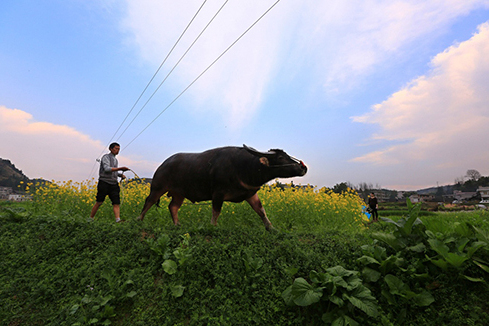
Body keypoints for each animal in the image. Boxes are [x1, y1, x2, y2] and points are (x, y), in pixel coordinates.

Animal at [136, 144, 304, 230]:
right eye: (281, 157)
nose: (303, 167)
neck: (244, 166)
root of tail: (163, 164)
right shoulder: (218, 193)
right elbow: (216, 212)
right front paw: (213, 227)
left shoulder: (251, 193)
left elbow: (261, 210)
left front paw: (271, 228)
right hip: (158, 187)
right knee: (149, 201)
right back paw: (139, 220)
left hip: (179, 193)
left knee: (173, 206)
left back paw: (177, 225)